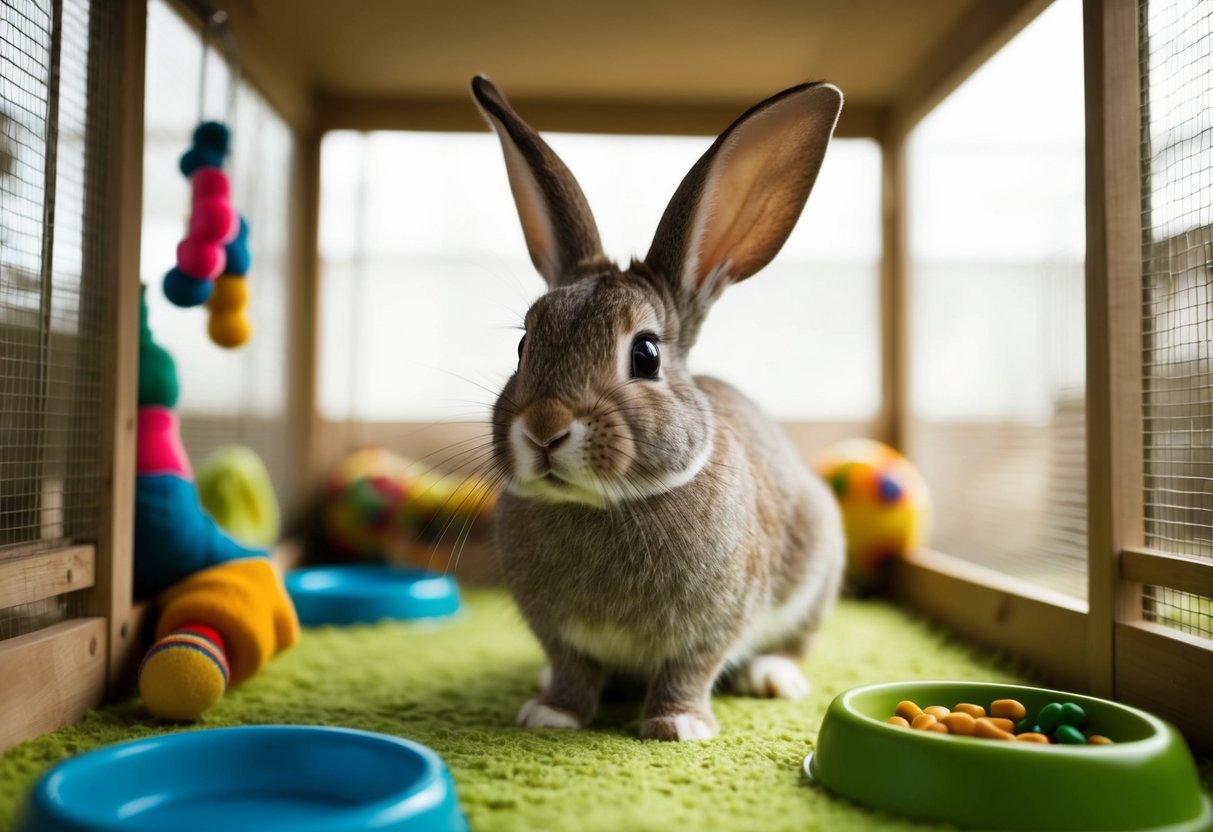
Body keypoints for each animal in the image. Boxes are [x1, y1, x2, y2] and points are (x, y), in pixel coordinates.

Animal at [471, 75, 846, 742]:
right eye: (523, 345)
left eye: (645, 354)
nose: (543, 428)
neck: (599, 504)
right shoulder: (559, 636)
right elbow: (571, 669)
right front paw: (551, 715)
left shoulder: (713, 627)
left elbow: (689, 671)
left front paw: (678, 727)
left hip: (820, 560)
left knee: (797, 640)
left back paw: (772, 676)